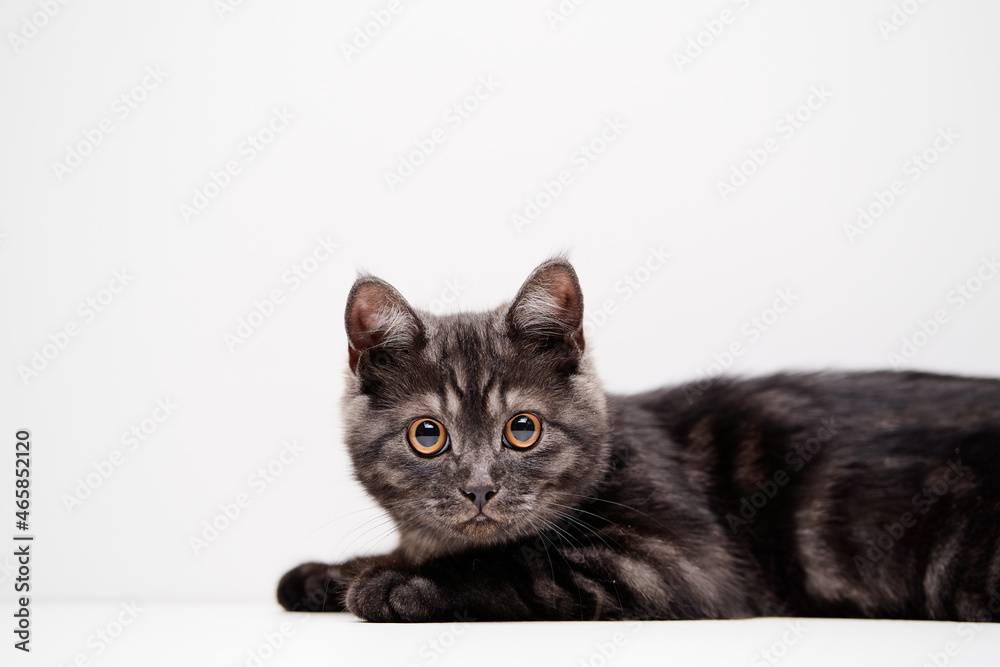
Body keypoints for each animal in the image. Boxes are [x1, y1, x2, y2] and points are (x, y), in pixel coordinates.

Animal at [278, 258, 1000, 624]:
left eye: (522, 429)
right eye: (427, 435)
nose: (480, 488)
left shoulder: (677, 562)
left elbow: (520, 566)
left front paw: (391, 583)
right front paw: (328, 574)